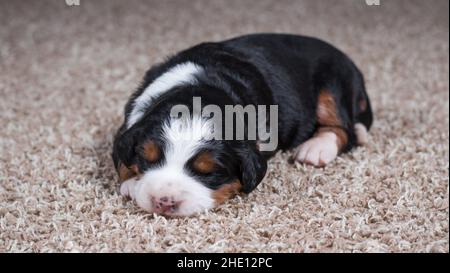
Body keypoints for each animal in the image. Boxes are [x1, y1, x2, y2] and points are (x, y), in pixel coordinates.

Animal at [111, 33, 372, 215]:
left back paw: (315, 149)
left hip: (333, 84)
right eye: (148, 159)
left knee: (345, 129)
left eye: (209, 172)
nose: (164, 201)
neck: (198, 89)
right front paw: (132, 182)